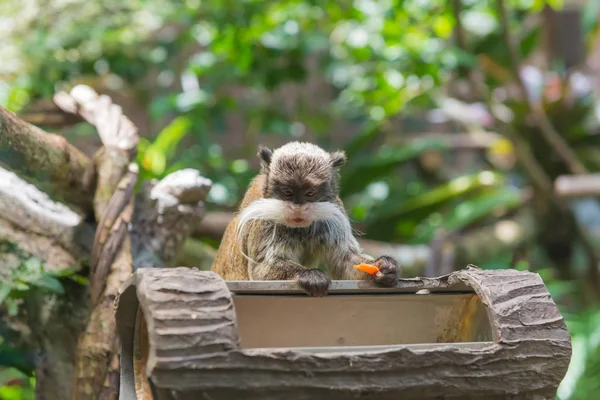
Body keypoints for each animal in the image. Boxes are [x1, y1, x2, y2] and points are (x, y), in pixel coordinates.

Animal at [211, 141, 398, 296]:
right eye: (288, 192)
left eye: (309, 193)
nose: (298, 208)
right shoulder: (263, 220)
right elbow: (260, 268)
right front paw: (309, 275)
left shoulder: (335, 212)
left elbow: (345, 260)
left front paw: (386, 268)